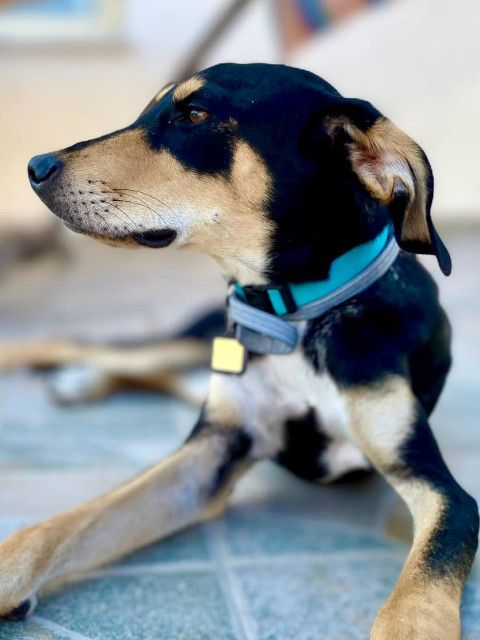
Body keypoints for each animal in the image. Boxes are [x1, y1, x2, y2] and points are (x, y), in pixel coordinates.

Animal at [0, 63, 477, 639]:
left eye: (195, 115)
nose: (35, 166)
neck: (292, 318)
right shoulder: (211, 454)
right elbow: (61, 526)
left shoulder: (441, 489)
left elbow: (419, 593)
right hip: (187, 343)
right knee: (86, 345)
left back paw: (79, 381)